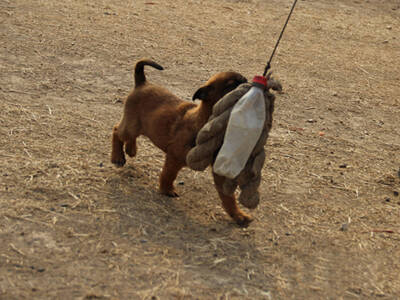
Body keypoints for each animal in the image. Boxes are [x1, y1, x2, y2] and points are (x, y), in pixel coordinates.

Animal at [111, 59, 252, 225]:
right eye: (231, 85)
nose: (249, 84)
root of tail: (142, 83)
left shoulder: (219, 172)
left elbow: (228, 197)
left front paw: (238, 214)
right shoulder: (174, 157)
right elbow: (168, 175)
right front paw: (166, 190)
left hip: (137, 125)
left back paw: (131, 149)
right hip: (131, 126)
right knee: (116, 131)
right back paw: (118, 157)